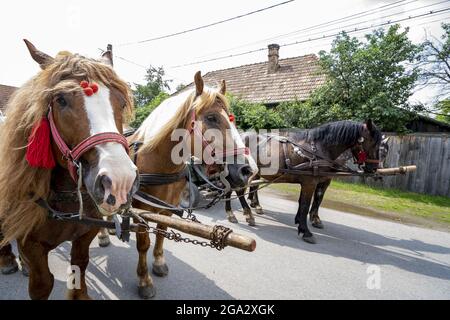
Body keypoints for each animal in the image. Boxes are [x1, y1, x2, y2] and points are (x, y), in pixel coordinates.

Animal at [0, 40, 139, 300]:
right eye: (61, 100)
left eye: (121, 102)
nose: (119, 180)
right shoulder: (31, 245)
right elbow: (42, 283)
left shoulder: (85, 233)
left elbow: (80, 265)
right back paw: (7, 260)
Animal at [125, 72, 258, 298]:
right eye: (212, 118)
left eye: (232, 119)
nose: (248, 170)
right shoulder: (140, 211)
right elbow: (143, 244)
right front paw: (144, 280)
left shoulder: (167, 209)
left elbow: (161, 233)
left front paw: (158, 262)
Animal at [223, 119, 382, 242]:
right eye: (374, 143)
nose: (374, 169)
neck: (317, 148)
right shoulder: (310, 182)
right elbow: (306, 204)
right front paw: (306, 231)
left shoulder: (315, 181)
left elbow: (307, 201)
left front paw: (301, 221)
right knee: (237, 191)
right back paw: (241, 214)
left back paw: (242, 212)